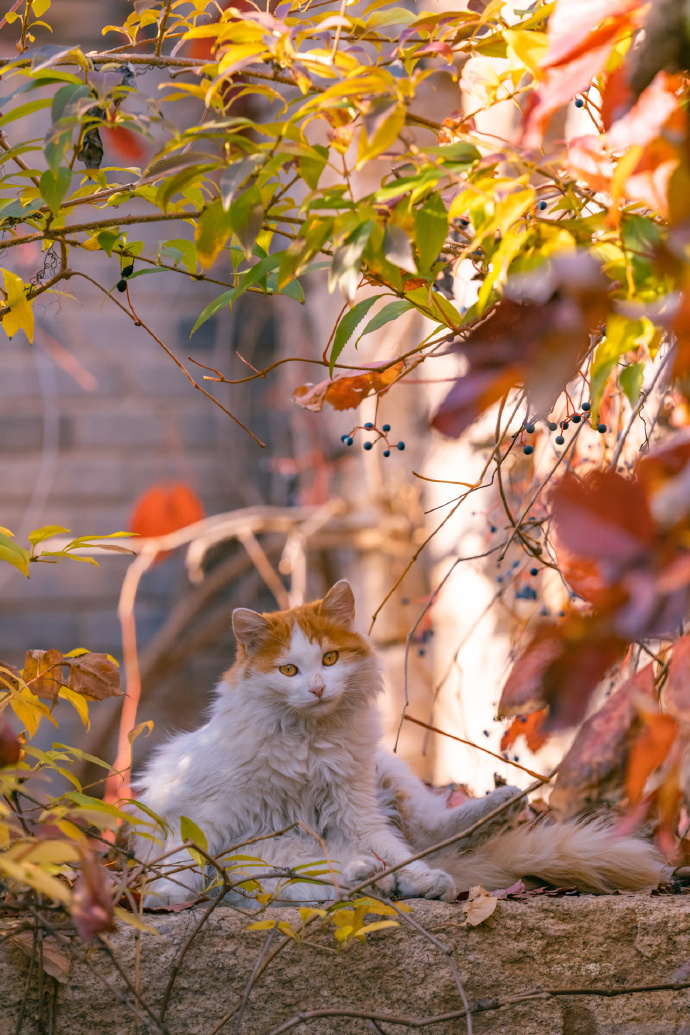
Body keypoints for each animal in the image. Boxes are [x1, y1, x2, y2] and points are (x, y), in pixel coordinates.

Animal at [133, 583, 670, 906]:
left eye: (329, 659)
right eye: (288, 670)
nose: (318, 688)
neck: (307, 745)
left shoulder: (355, 808)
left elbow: (396, 848)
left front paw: (418, 878)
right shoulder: (215, 813)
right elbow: (185, 850)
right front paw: (164, 896)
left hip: (389, 777)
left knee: (425, 836)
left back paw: (488, 816)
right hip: (271, 853)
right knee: (320, 876)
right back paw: (365, 879)